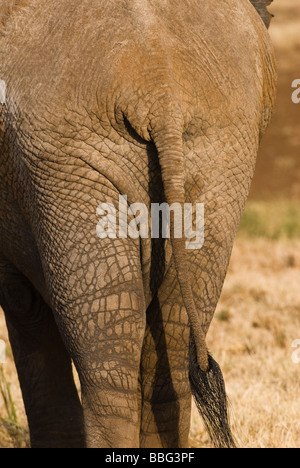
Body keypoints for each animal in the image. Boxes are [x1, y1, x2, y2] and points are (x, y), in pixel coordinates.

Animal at [0, 0, 276, 448]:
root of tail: (159, 88)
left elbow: (23, 305)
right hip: (220, 158)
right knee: (173, 350)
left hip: (66, 159)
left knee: (109, 361)